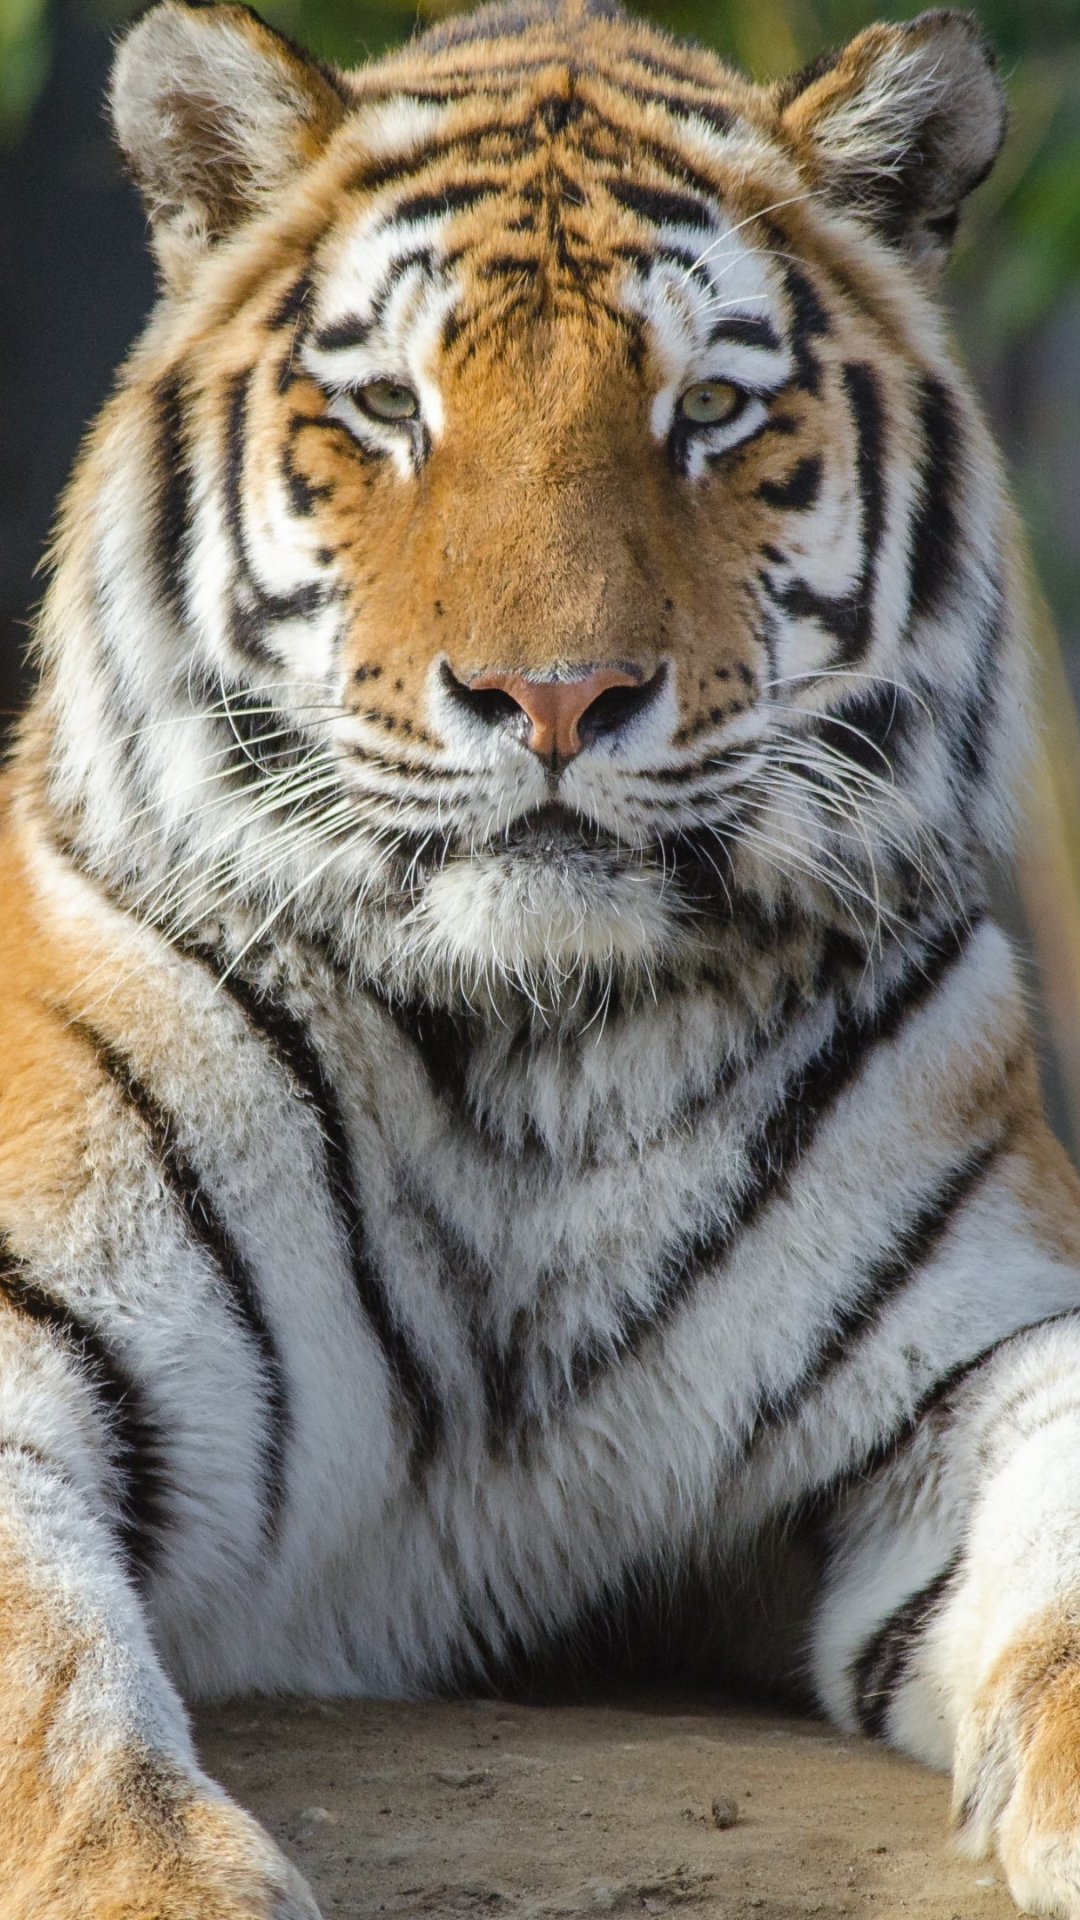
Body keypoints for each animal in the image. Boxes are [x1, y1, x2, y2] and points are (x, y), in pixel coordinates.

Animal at [6, 0, 1076, 1912]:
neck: (532, 1049)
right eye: (388, 407)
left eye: (708, 409)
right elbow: (58, 1711)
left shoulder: (987, 1347)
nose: (556, 698)